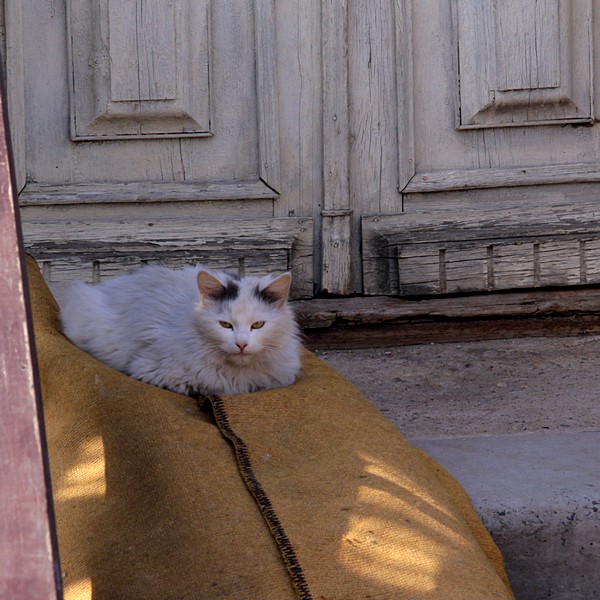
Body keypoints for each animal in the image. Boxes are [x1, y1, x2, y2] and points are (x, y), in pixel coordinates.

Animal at [59, 264, 302, 395]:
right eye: (225, 325)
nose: (241, 344)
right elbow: (207, 386)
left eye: (257, 325)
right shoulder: (153, 371)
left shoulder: (280, 378)